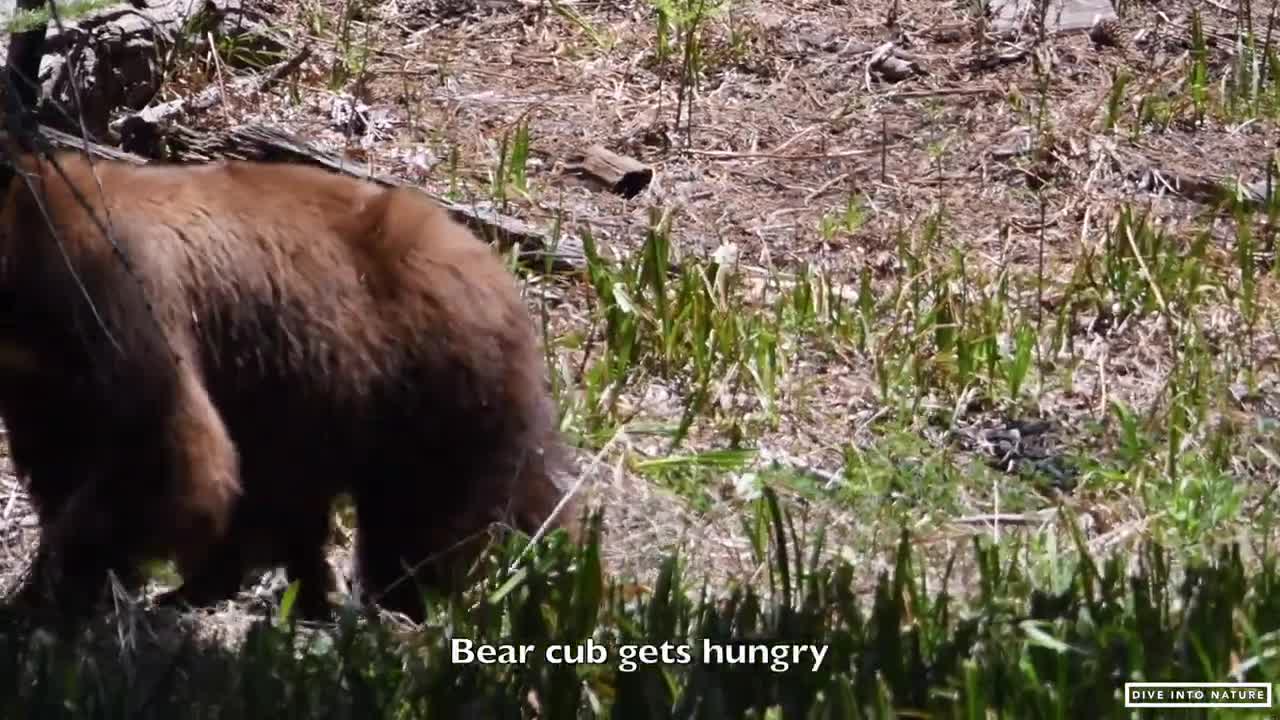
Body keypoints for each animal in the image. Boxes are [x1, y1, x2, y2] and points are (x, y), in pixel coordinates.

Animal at [0, 144, 581, 617]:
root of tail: (500, 277)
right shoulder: (45, 375)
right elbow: (68, 451)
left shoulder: (113, 292)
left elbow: (167, 451)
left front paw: (57, 585)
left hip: (431, 384)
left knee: (416, 519)